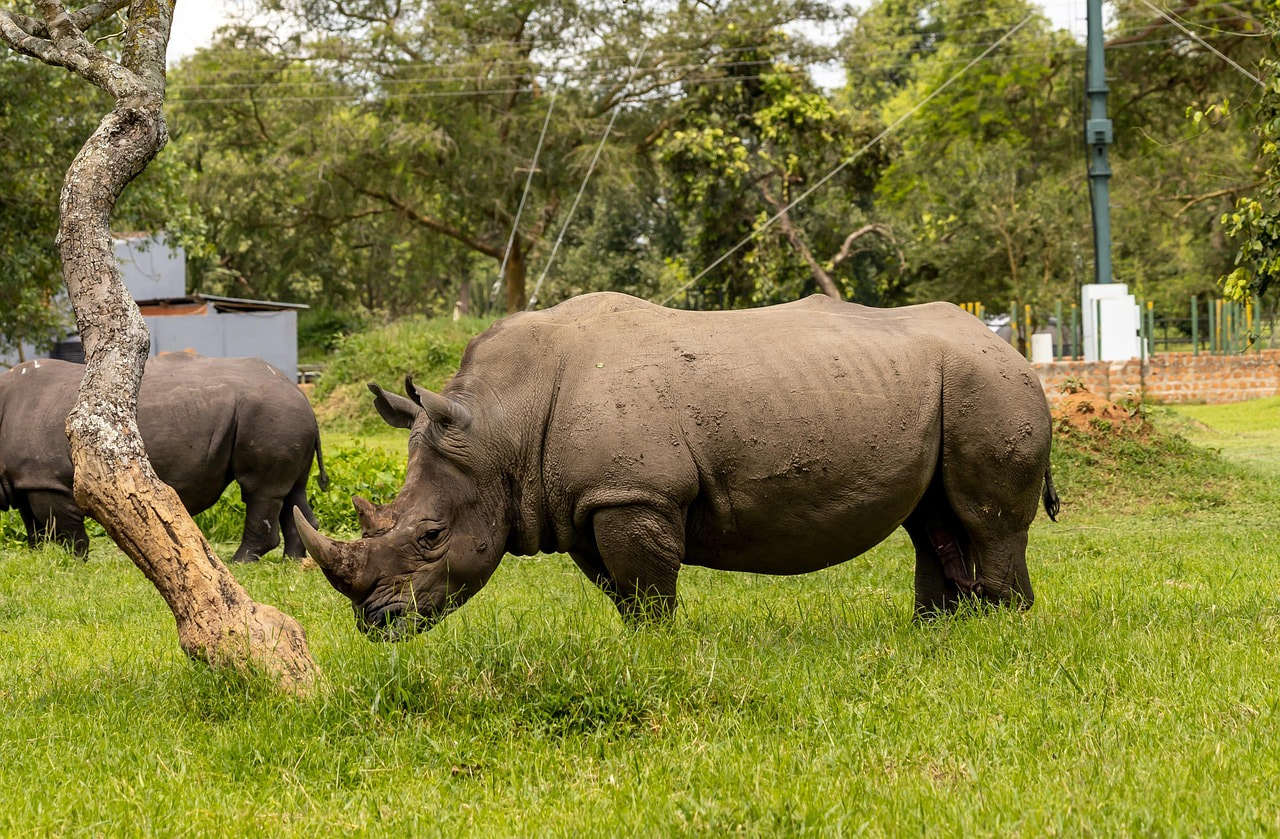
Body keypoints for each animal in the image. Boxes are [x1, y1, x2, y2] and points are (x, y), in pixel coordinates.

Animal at [0, 352, 328, 562]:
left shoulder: (45, 479)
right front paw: (38, 557)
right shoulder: (25, 479)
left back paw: (242, 562)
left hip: (269, 411)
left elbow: (61, 526)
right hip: (283, 414)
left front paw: (76, 561)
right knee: (292, 492)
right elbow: (33, 525)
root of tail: (300, 392)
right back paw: (294, 562)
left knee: (260, 490)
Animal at [296, 292, 1058, 639]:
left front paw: (659, 649)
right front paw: (638, 645)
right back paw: (937, 634)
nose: (376, 624)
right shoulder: (588, 500)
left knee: (987, 522)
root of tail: (1013, 347)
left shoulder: (635, 493)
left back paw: (1004, 635)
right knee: (932, 520)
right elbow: (623, 590)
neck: (500, 427)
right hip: (951, 383)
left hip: (989, 384)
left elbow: (647, 585)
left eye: (430, 537)